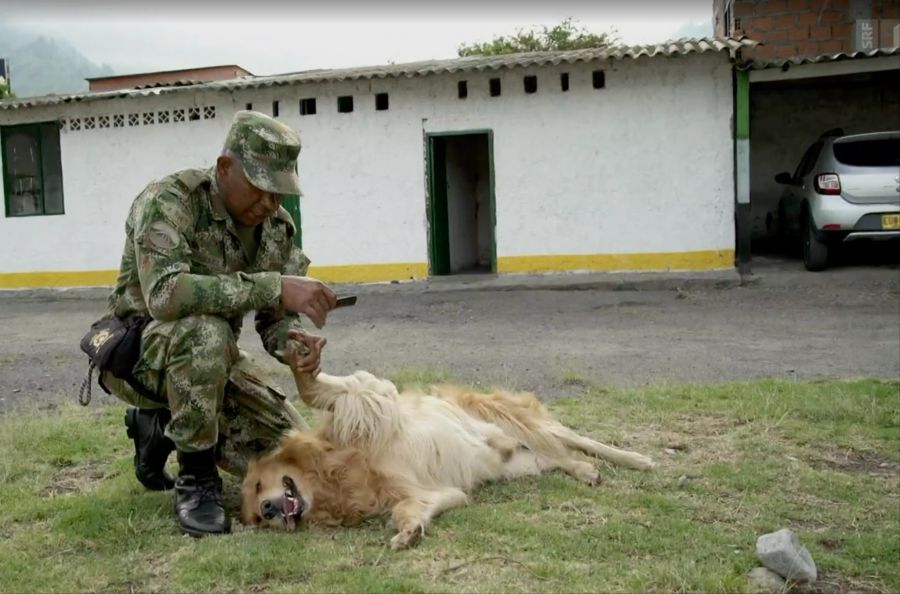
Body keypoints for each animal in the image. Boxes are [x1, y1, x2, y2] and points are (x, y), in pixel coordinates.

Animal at [241, 340, 652, 548]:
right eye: (257, 518)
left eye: (260, 485)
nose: (268, 509)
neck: (336, 473)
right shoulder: (431, 492)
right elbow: (410, 509)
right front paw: (409, 532)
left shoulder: (373, 401)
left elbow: (327, 389)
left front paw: (300, 362)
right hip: (521, 463)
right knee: (559, 457)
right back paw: (584, 471)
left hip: (519, 419)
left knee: (579, 439)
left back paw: (638, 459)